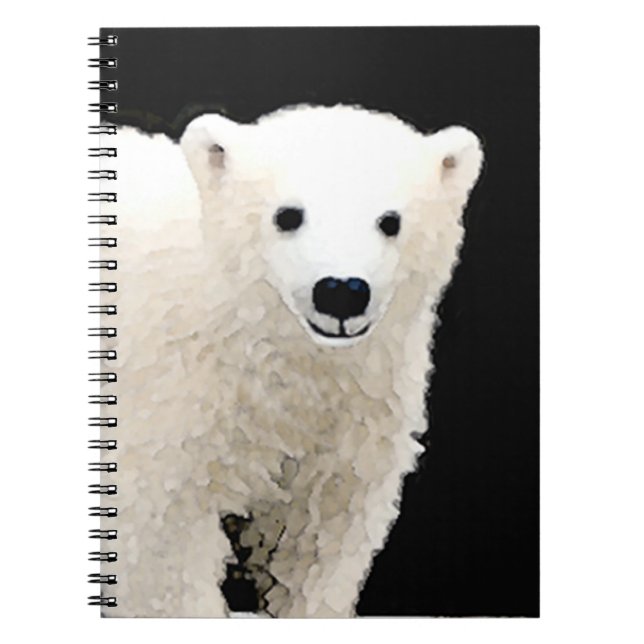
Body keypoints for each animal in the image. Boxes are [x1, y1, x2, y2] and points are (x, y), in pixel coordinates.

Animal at [99, 105, 483, 617]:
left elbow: (317, 528)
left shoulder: (357, 409)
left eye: (390, 221)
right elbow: (161, 540)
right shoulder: (167, 400)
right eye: (288, 215)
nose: (341, 291)